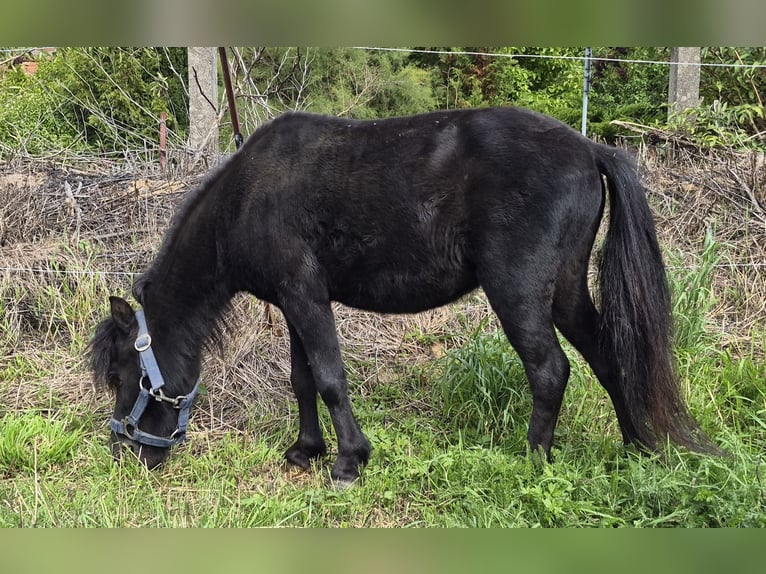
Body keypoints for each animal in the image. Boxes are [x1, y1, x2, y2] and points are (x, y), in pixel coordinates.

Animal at [89, 106, 717, 484]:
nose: (129, 453)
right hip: (564, 291)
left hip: (517, 292)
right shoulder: (294, 303)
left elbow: (329, 378)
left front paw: (348, 462)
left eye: (123, 375)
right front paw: (306, 451)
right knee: (608, 358)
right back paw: (637, 446)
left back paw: (534, 461)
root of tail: (590, 149)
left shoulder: (306, 296)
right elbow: (302, 379)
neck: (247, 198)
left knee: (550, 370)